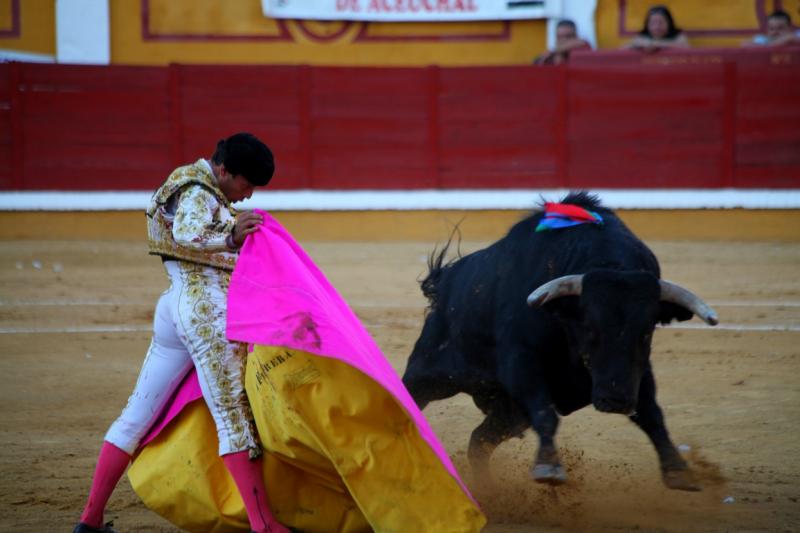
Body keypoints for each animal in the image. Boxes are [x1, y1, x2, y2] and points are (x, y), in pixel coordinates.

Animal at [400, 192, 720, 490]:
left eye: (647, 330)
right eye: (590, 327)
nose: (615, 400)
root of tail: (444, 282)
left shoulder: (637, 369)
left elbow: (651, 413)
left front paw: (678, 471)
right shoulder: (521, 361)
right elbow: (546, 413)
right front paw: (549, 467)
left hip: (510, 413)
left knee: (479, 441)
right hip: (430, 374)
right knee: (412, 400)